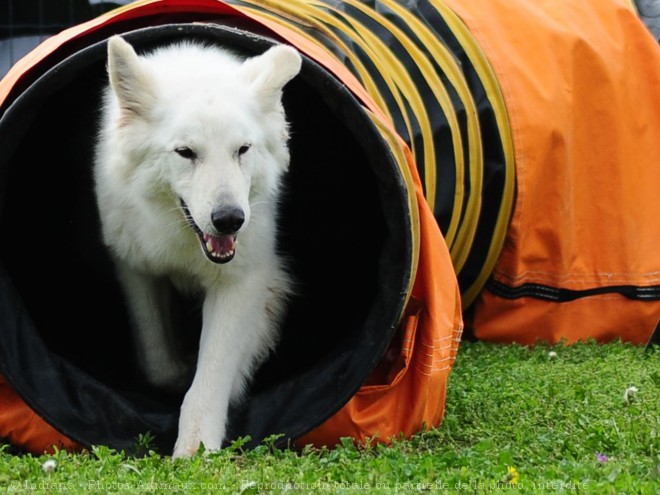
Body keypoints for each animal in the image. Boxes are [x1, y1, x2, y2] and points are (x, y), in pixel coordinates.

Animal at [94, 36, 300, 460]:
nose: (230, 219)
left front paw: (195, 448)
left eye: (243, 149)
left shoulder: (242, 283)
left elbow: (212, 374)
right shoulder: (135, 268)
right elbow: (157, 358)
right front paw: (177, 375)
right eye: (186, 152)